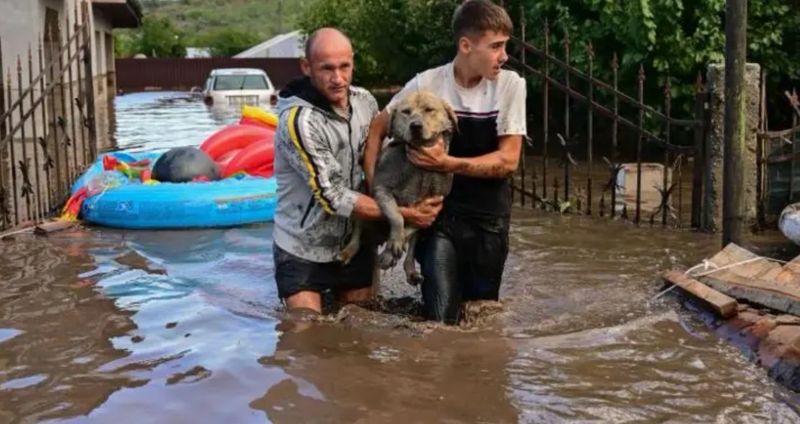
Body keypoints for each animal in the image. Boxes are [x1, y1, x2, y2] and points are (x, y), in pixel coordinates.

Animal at [340, 92, 460, 284]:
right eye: (406, 112)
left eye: (429, 109)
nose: (415, 126)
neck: (419, 164)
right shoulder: (381, 189)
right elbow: (397, 216)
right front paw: (394, 243)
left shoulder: (433, 207)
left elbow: (411, 229)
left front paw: (392, 250)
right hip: (360, 196)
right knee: (357, 232)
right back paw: (349, 251)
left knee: (411, 251)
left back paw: (410, 269)